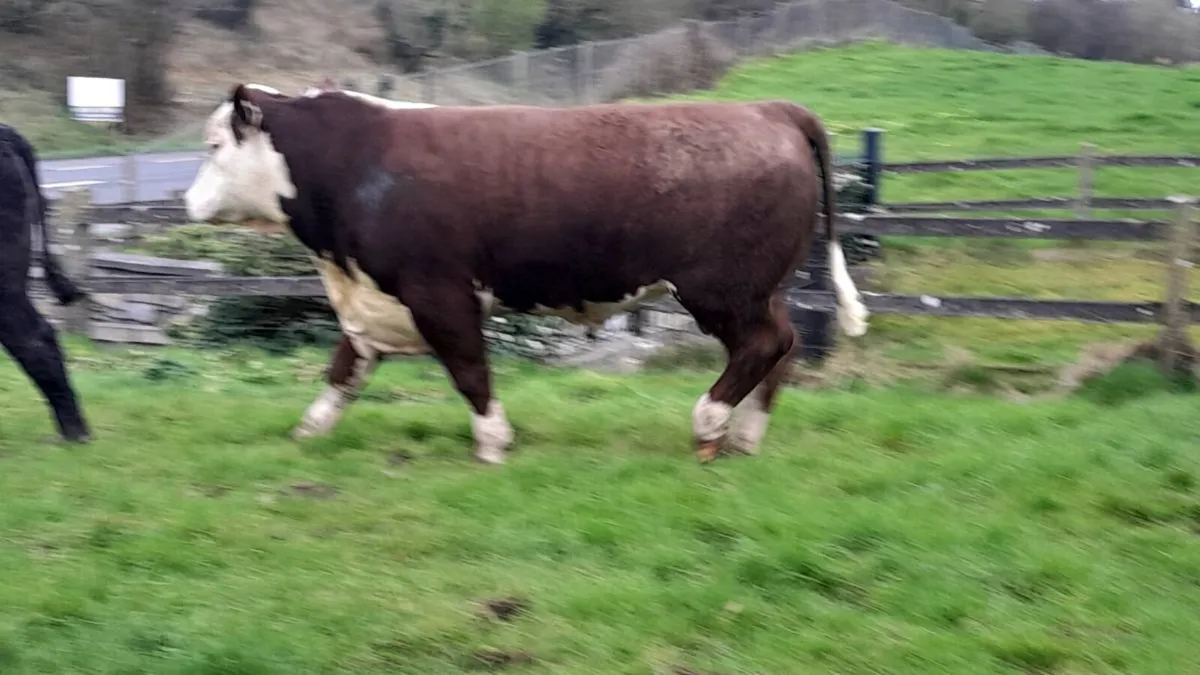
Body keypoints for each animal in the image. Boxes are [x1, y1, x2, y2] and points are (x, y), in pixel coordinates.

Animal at [183, 83, 869, 464]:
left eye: (214, 147)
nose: (188, 202)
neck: (353, 164)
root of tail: (768, 110)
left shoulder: (440, 294)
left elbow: (468, 371)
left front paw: (493, 442)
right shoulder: (375, 305)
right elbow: (343, 376)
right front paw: (308, 432)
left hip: (722, 290)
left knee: (762, 346)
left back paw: (710, 423)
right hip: (760, 289)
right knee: (785, 346)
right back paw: (747, 436)